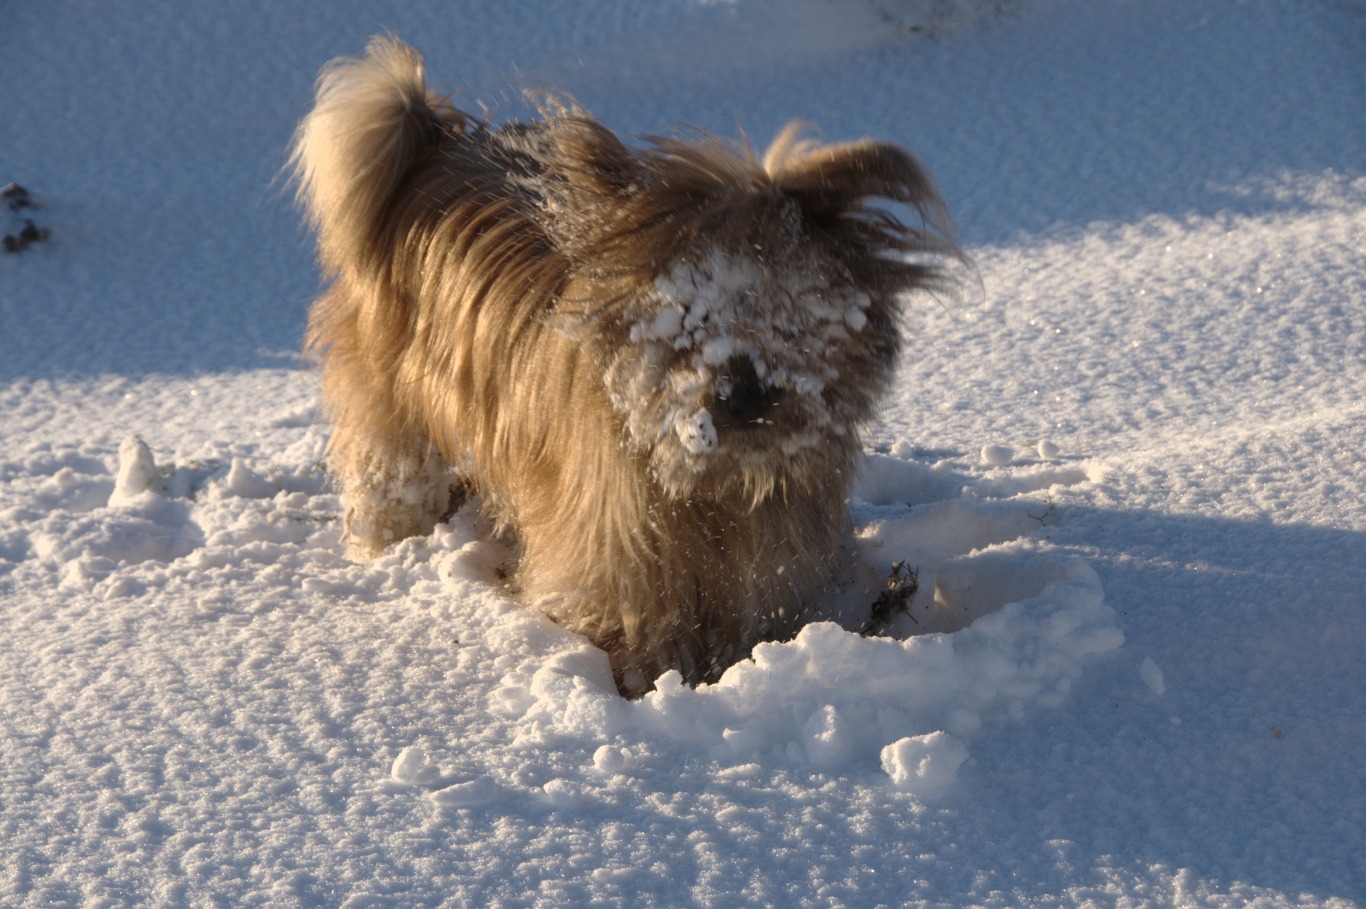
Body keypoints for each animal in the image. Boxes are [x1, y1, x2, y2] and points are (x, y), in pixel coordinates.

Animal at [286, 35, 956, 694]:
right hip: (390, 399)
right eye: (683, 319)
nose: (741, 394)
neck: (710, 485)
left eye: (788, 313)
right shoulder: (619, 555)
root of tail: (431, 138)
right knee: (391, 471)